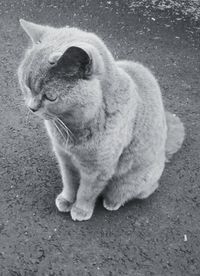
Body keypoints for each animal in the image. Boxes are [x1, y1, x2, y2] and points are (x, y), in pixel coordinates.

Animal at [18, 19, 185, 221]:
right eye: (26, 85)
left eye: (50, 97)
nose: (31, 107)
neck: (72, 128)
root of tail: (163, 151)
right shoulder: (64, 157)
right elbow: (70, 182)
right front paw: (66, 200)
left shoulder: (99, 168)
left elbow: (86, 192)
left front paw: (80, 210)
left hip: (133, 181)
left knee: (142, 190)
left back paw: (112, 202)